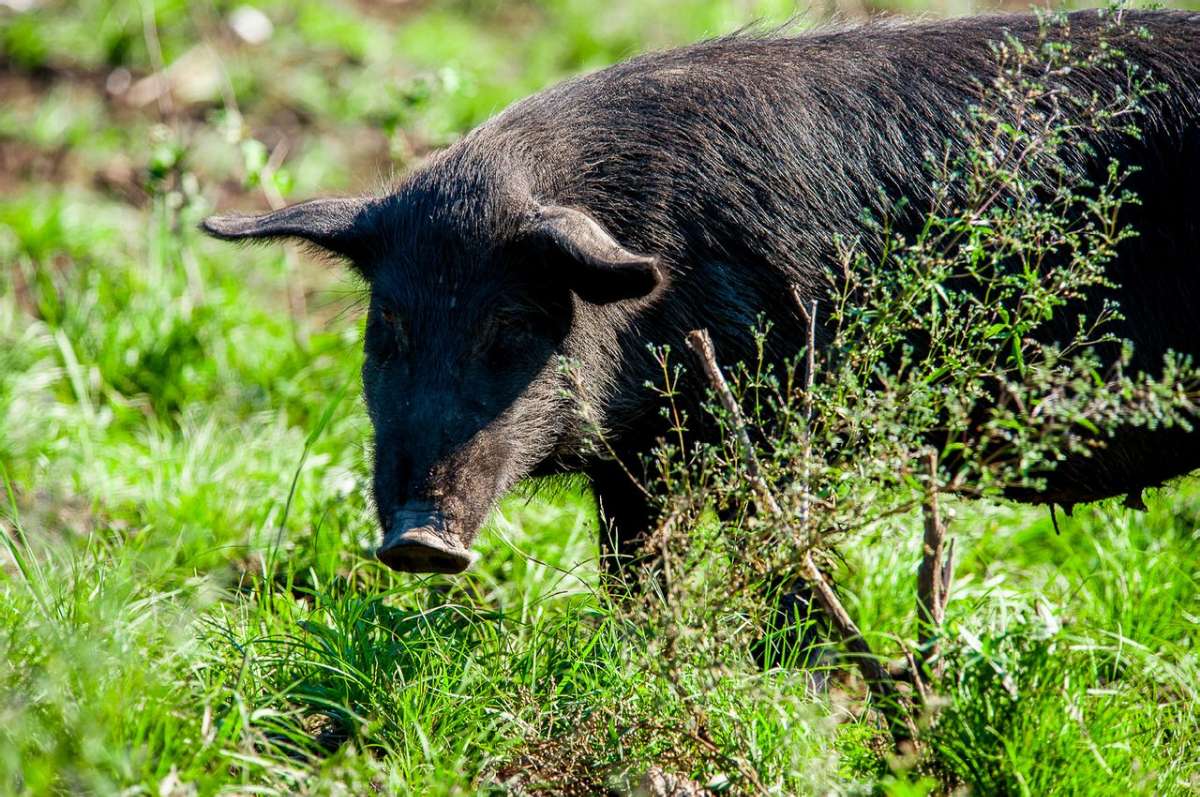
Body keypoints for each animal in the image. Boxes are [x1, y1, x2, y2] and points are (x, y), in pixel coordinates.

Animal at [206, 10, 1200, 578]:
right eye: (391, 327)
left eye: (514, 325)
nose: (418, 540)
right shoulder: (636, 461)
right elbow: (635, 581)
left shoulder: (778, 416)